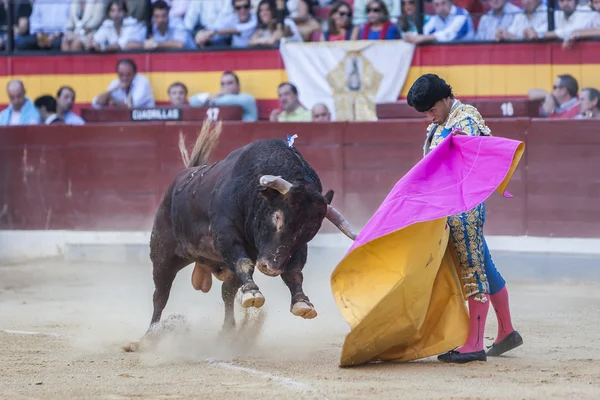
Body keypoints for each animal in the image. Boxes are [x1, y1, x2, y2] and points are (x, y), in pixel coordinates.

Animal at [146, 121, 356, 334]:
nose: (271, 268)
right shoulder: (227, 236)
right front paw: (253, 293)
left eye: (310, 232)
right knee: (161, 293)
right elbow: (243, 263)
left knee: (227, 291)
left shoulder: (294, 248)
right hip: (163, 253)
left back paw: (229, 329)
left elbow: (294, 272)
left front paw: (302, 303)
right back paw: (151, 333)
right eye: (277, 216)